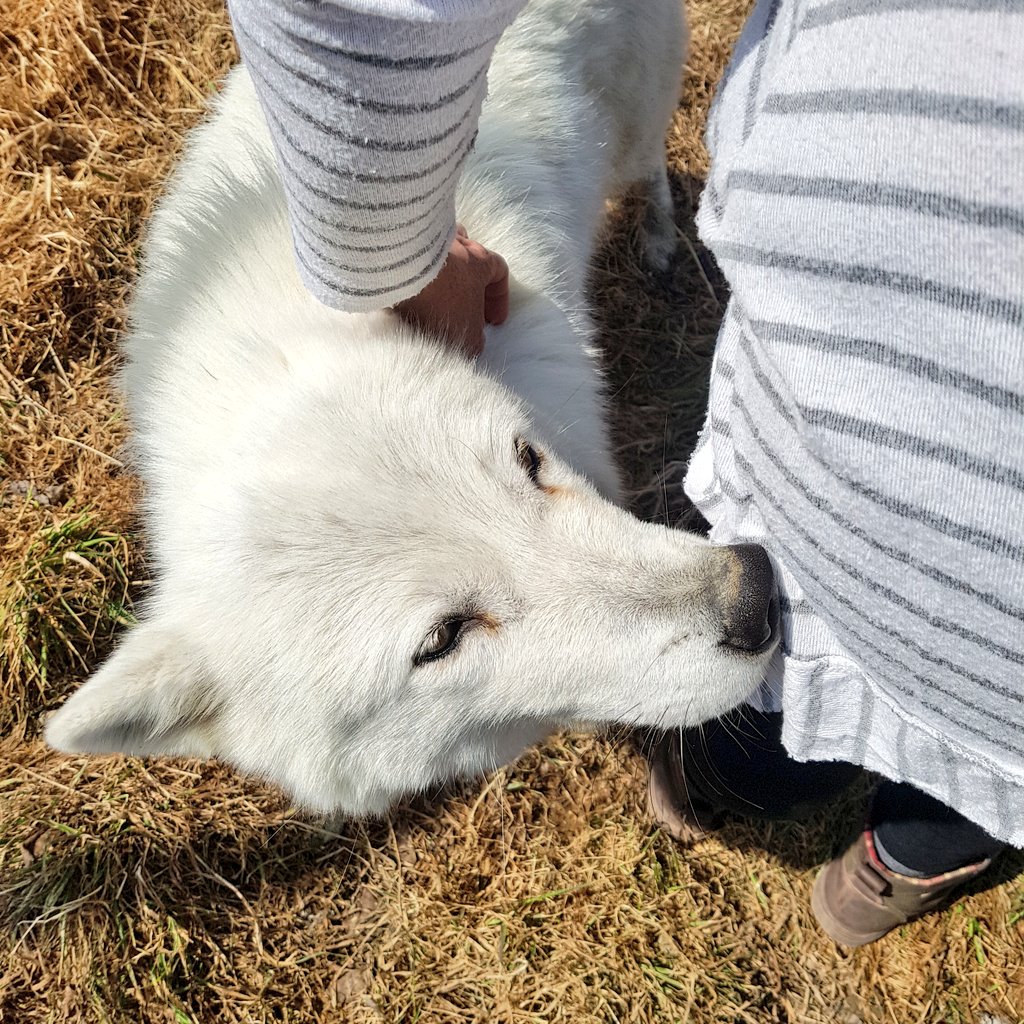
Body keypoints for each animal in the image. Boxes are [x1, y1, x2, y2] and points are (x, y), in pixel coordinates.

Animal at [46, 0, 779, 816]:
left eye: (528, 461)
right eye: (442, 639)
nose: (754, 595)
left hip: (639, 122)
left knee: (650, 169)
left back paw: (658, 240)